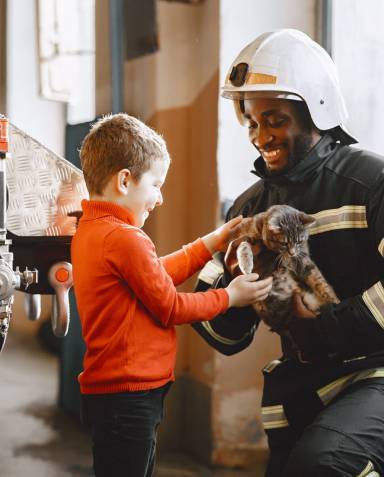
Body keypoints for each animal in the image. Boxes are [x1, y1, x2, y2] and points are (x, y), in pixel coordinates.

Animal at [225, 205, 340, 334]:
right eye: (284, 243)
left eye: (299, 241)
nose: (292, 253)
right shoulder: (243, 237)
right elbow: (243, 245)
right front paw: (246, 264)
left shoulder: (303, 260)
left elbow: (318, 280)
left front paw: (333, 299)